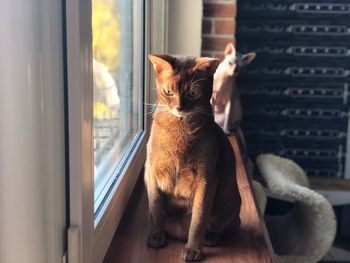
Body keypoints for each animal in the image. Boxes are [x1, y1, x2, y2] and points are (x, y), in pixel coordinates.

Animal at [145, 54, 241, 262]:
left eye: (192, 93)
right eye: (168, 91)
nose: (179, 107)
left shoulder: (206, 180)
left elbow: (199, 219)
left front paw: (193, 249)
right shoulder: (151, 173)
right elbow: (156, 209)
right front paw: (156, 235)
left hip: (230, 204)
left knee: (227, 225)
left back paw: (211, 237)